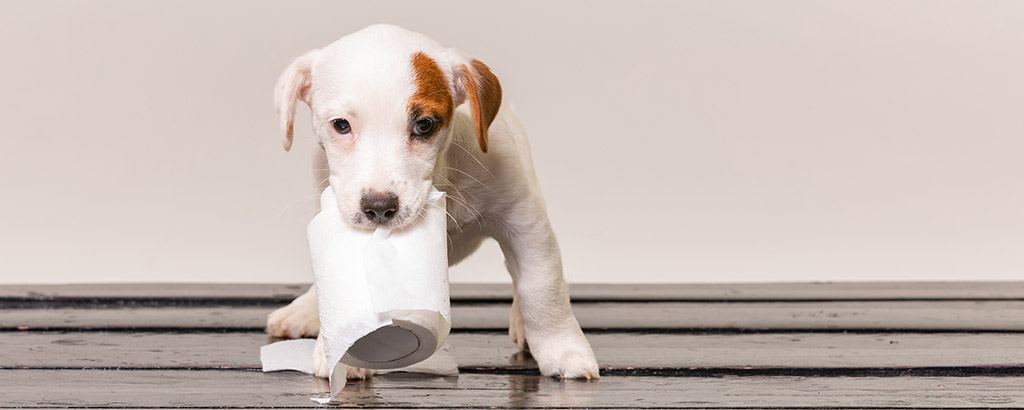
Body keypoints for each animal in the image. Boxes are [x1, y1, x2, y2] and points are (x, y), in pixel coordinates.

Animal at [266, 24, 598, 379]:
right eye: (341, 125)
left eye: (424, 124)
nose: (379, 207)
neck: (443, 179)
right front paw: (342, 355)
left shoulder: (524, 219)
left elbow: (541, 286)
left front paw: (562, 349)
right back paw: (302, 310)